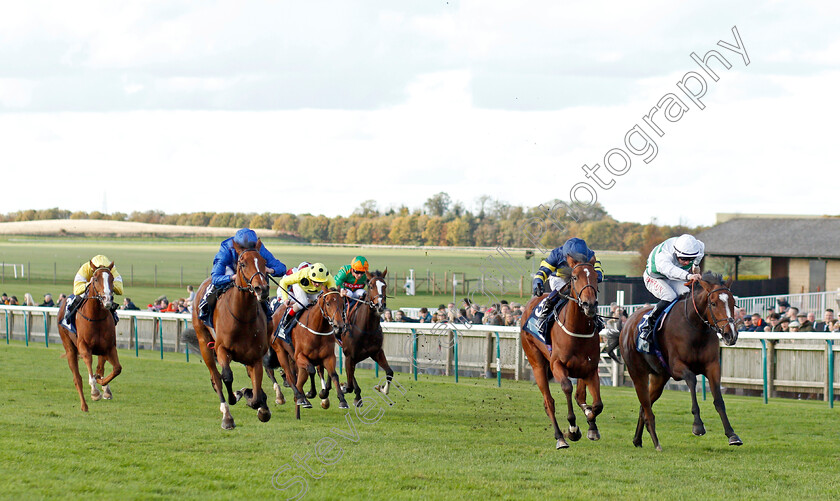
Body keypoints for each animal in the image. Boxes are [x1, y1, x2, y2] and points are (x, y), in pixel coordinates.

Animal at [58, 262, 121, 410]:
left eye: (112, 279)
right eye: (96, 279)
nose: (107, 299)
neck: (95, 317)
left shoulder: (109, 348)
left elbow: (117, 369)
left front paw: (102, 383)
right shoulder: (84, 347)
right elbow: (88, 365)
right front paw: (94, 391)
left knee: (100, 367)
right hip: (69, 347)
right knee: (77, 378)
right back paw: (84, 406)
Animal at [191, 243, 270, 430]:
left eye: (264, 262)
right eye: (242, 264)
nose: (261, 289)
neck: (243, 317)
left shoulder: (256, 356)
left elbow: (257, 392)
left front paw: (258, 403)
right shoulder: (222, 349)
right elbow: (226, 376)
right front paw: (236, 396)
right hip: (204, 342)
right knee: (216, 377)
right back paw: (226, 414)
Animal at [340, 270, 396, 406]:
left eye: (385, 285)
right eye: (371, 286)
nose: (380, 305)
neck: (366, 329)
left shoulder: (377, 352)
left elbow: (390, 372)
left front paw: (382, 388)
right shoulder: (349, 354)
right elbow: (349, 385)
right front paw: (344, 387)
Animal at [520, 254, 604, 450]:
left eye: (595, 277)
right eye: (574, 277)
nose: (590, 305)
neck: (577, 330)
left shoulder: (590, 369)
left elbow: (596, 404)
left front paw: (591, 425)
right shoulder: (557, 365)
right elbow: (567, 387)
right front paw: (573, 429)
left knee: (579, 397)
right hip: (537, 363)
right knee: (548, 402)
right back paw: (560, 437)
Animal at [616, 274, 740, 450]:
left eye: (733, 302)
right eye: (714, 303)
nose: (731, 334)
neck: (694, 327)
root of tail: (627, 323)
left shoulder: (713, 367)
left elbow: (719, 400)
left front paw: (732, 435)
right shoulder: (677, 367)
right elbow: (692, 379)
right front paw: (698, 426)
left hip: (659, 378)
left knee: (644, 406)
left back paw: (637, 439)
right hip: (637, 373)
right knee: (646, 405)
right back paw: (656, 442)